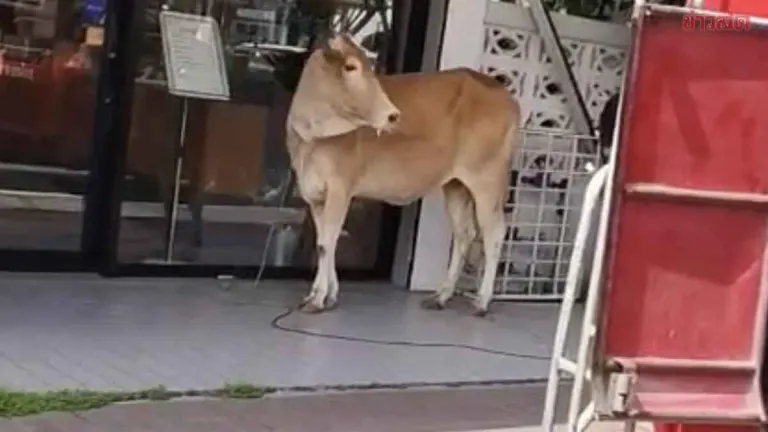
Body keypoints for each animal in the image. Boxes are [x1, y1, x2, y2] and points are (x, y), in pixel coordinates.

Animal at [285, 34, 521, 316]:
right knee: (464, 234)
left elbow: (326, 244)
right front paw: (327, 294)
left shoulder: (340, 189)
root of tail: (506, 96)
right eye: (350, 66)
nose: (393, 115)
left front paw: (318, 298)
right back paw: (441, 296)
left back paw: (482, 301)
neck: (309, 137)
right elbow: (324, 242)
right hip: (455, 185)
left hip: (488, 181)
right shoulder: (315, 196)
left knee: (494, 233)